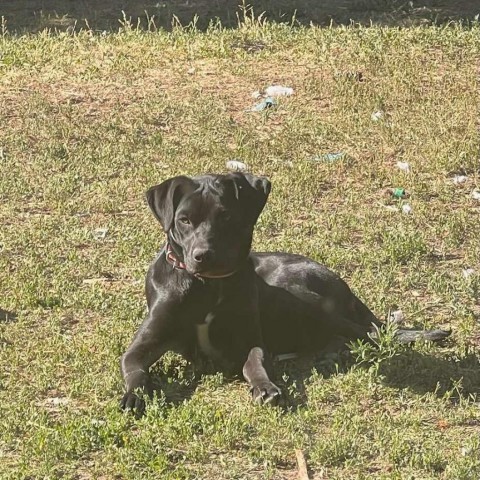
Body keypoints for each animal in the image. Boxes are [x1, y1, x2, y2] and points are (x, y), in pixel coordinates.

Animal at [120, 172, 450, 412]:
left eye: (226, 217)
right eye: (184, 220)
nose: (204, 255)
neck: (208, 286)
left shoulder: (251, 339)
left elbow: (255, 361)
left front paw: (266, 386)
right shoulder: (142, 345)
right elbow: (135, 371)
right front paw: (135, 397)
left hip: (295, 295)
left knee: (367, 332)